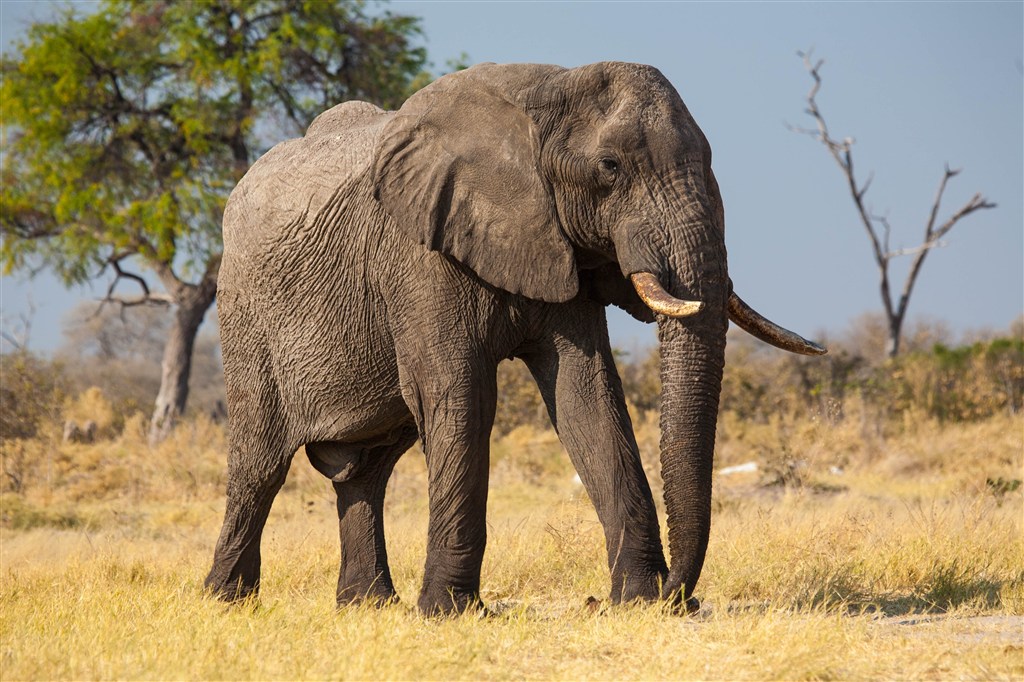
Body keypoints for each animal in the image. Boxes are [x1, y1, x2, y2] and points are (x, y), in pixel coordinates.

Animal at [205, 61, 823, 614]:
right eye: (609, 167)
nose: (682, 598)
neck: (546, 92)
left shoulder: (558, 246)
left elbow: (587, 397)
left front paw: (637, 601)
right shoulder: (421, 252)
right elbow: (461, 396)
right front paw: (449, 612)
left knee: (366, 470)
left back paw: (366, 606)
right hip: (245, 314)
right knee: (260, 462)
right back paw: (227, 601)